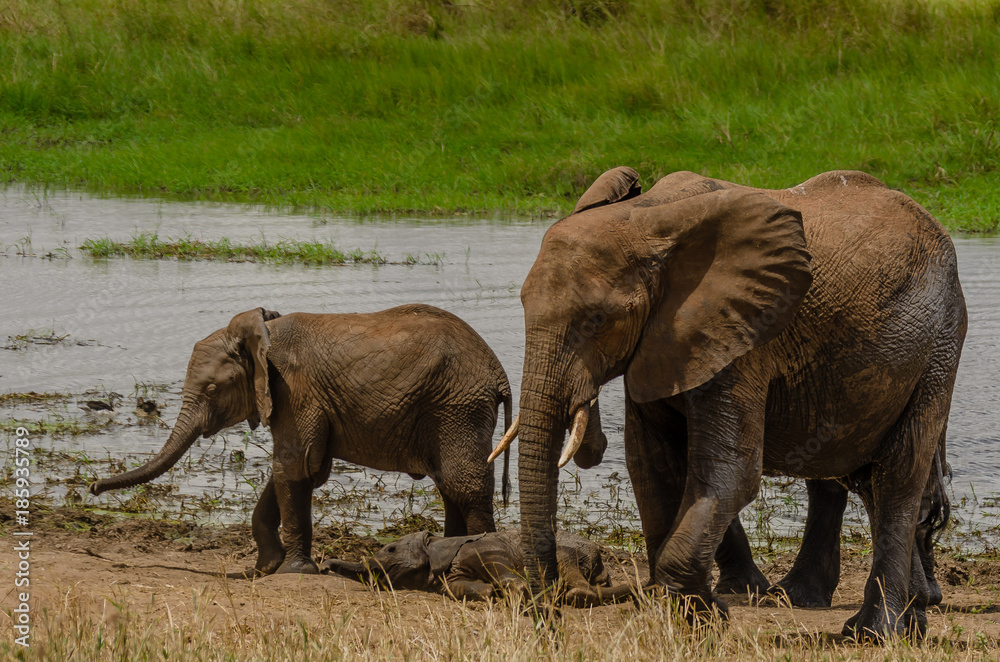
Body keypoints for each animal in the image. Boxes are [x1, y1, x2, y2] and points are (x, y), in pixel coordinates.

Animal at [89, 304, 514, 576]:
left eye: (211, 389)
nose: (92, 488)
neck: (262, 335)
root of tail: (500, 373)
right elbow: (295, 471)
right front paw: (266, 567)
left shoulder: (295, 390)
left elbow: (295, 466)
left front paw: (294, 570)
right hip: (450, 410)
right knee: (450, 485)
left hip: (458, 407)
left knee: (464, 484)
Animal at [497, 167, 966, 639]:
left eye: (598, 320)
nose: (549, 620)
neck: (645, 218)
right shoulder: (659, 342)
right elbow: (651, 466)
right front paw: (693, 613)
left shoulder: (743, 338)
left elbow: (731, 474)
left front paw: (706, 617)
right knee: (856, 476)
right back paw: (891, 619)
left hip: (939, 345)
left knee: (899, 476)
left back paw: (872, 632)